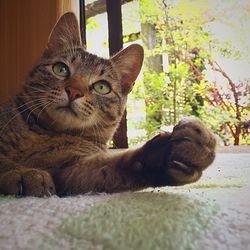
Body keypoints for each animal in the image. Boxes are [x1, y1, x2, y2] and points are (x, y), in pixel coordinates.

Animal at [0, 12, 216, 196]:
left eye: (101, 87)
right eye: (60, 69)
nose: (74, 91)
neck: (45, 135)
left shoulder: (72, 170)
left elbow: (115, 167)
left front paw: (167, 154)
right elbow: (5, 163)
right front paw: (23, 173)